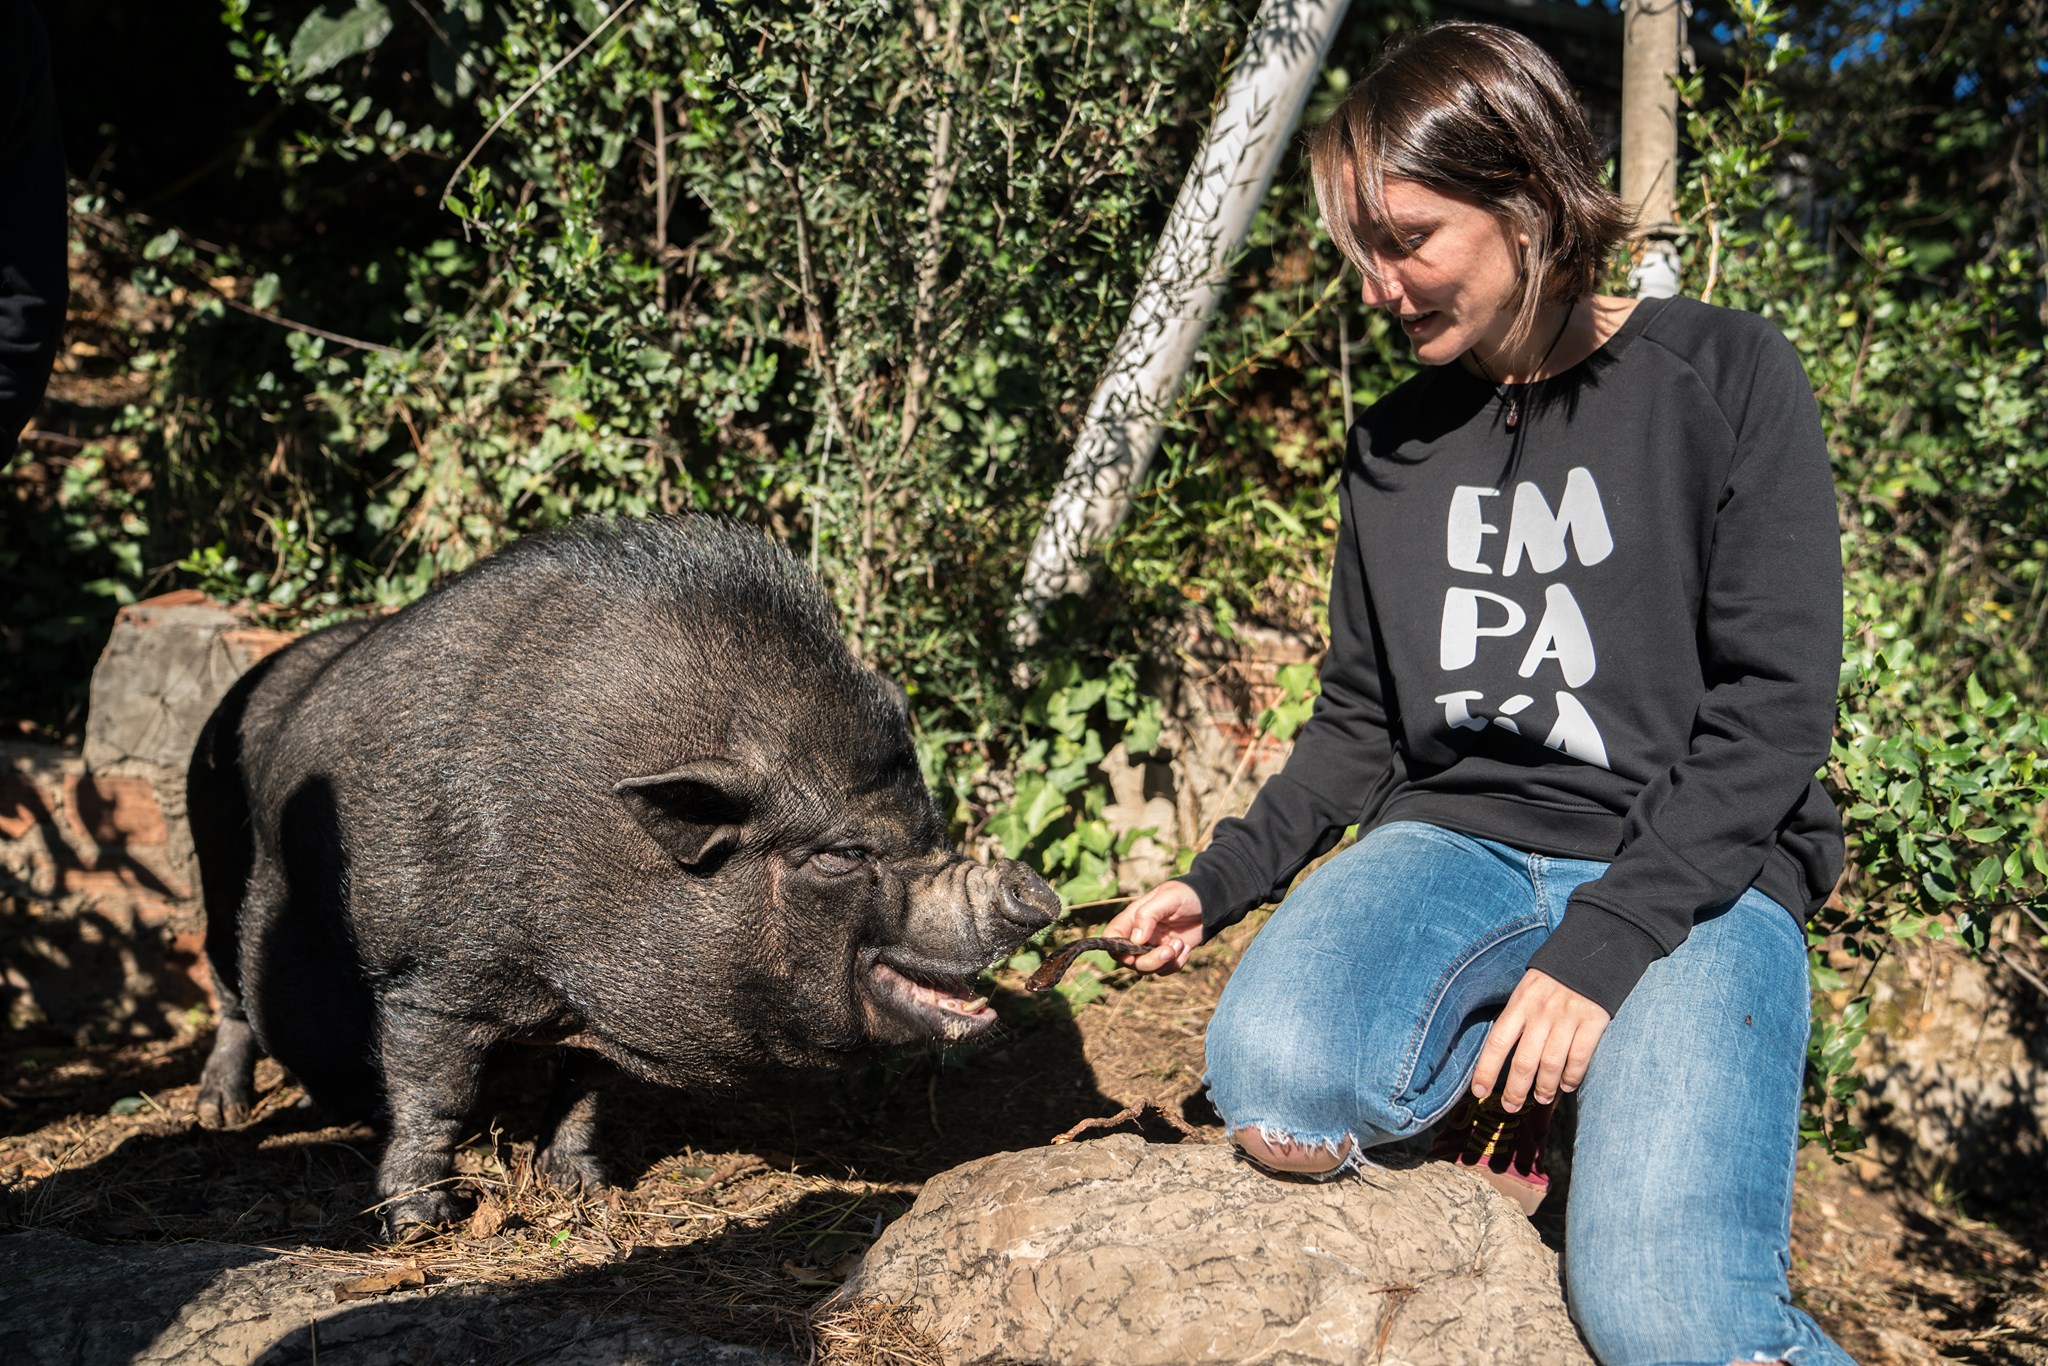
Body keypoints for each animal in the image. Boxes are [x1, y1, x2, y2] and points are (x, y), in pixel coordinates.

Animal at [186, 516, 1056, 1236]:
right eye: (840, 854)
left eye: (931, 826)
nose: (1033, 890)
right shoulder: (431, 980)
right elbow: (437, 1097)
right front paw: (421, 1226)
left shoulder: (606, 1011)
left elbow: (586, 1094)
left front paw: (584, 1190)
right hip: (216, 868)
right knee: (229, 995)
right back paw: (220, 1115)